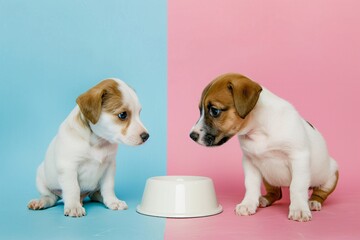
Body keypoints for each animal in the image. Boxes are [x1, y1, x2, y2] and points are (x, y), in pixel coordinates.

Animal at [27, 79, 149, 218]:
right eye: (122, 115)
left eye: (139, 113)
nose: (146, 136)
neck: (98, 142)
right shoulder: (69, 168)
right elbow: (73, 188)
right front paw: (73, 206)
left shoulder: (109, 166)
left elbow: (108, 187)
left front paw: (113, 201)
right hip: (41, 177)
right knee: (50, 197)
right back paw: (41, 202)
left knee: (96, 194)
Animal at [190, 72, 338, 221]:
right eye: (200, 110)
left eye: (214, 111)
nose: (192, 136)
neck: (258, 130)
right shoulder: (249, 161)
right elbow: (251, 185)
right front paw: (248, 203)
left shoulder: (299, 158)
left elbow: (297, 186)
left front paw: (299, 209)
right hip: (268, 178)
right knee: (276, 193)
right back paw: (263, 199)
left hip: (332, 176)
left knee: (319, 192)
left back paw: (312, 202)